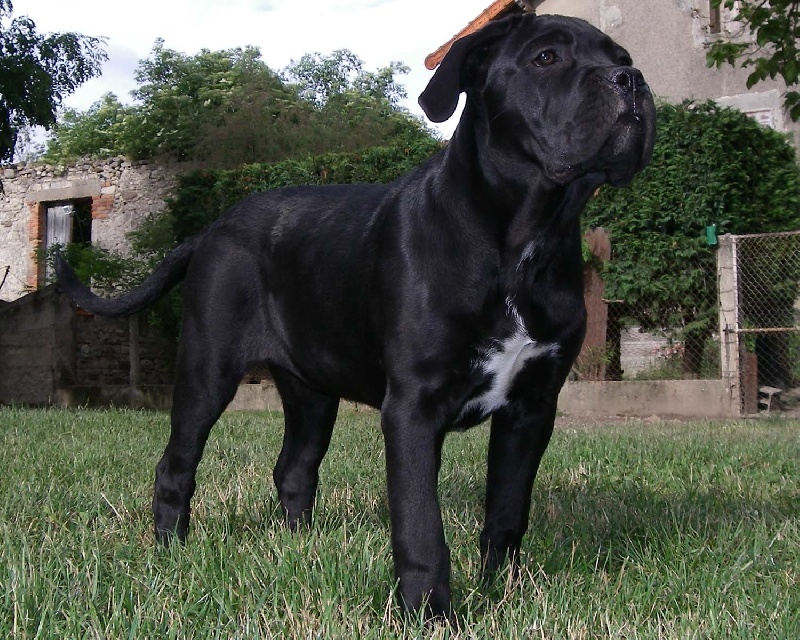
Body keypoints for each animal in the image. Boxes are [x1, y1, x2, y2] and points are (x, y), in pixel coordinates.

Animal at [56, 13, 655, 619]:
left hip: (312, 392)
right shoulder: (413, 407)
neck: (524, 240)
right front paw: (429, 612)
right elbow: (420, 525)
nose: (630, 79)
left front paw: (499, 592)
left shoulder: (531, 408)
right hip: (207, 372)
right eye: (546, 58)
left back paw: (299, 548)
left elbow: (508, 512)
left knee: (294, 469)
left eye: (623, 56)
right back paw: (170, 551)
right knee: (177, 464)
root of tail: (211, 229)